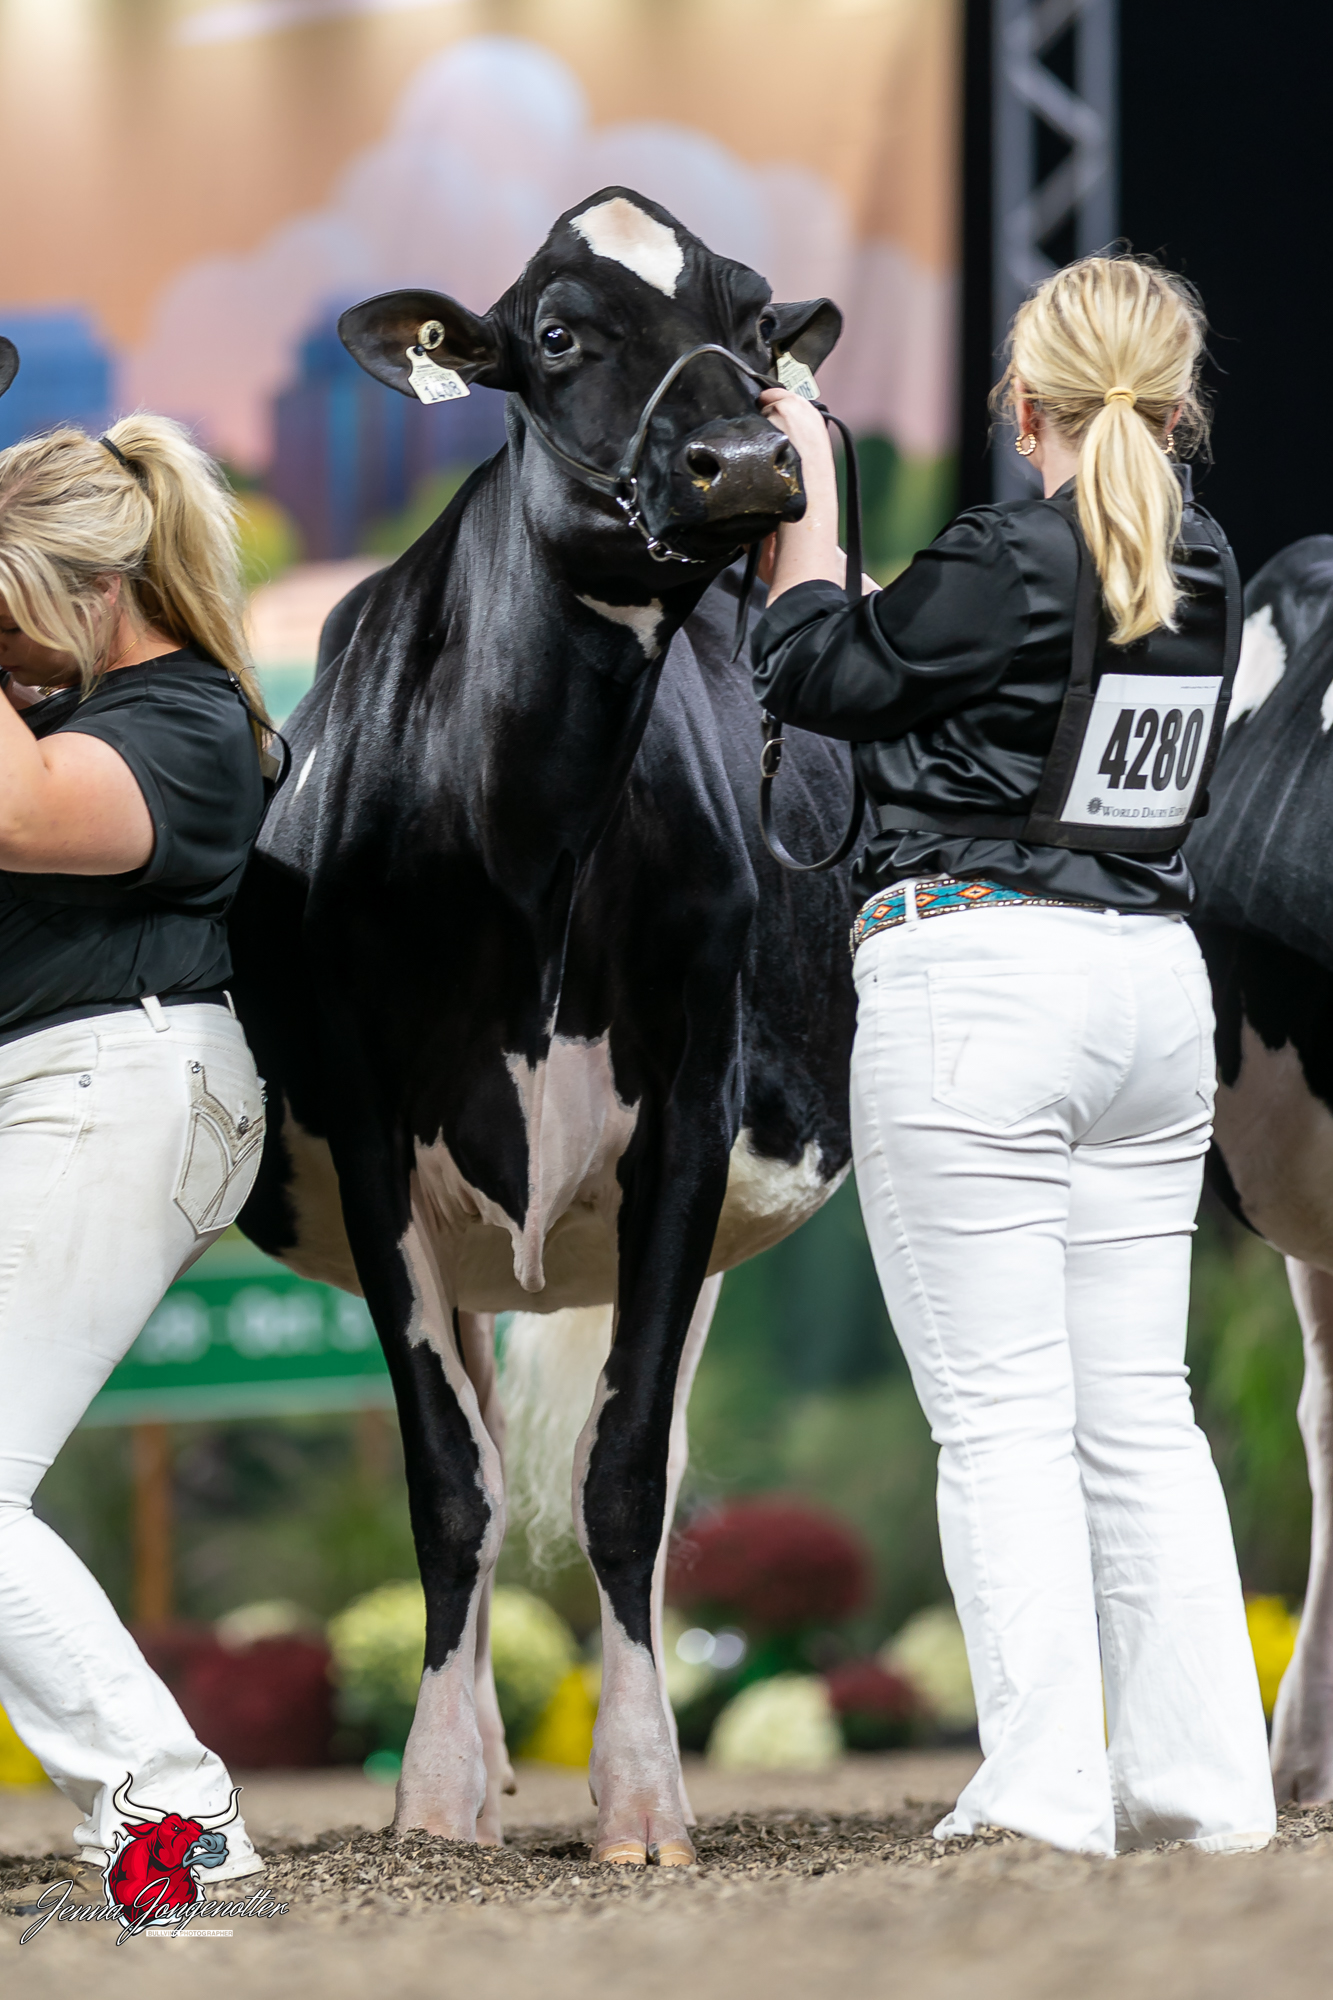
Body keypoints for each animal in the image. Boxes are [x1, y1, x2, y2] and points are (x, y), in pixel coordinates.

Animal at [227, 189, 859, 1865]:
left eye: (755, 317)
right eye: (558, 334)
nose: (748, 463)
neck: (531, 844)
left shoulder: (692, 1119)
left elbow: (624, 1478)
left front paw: (640, 1796)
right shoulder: (370, 1129)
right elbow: (448, 1480)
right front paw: (436, 1794)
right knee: (490, 1459)